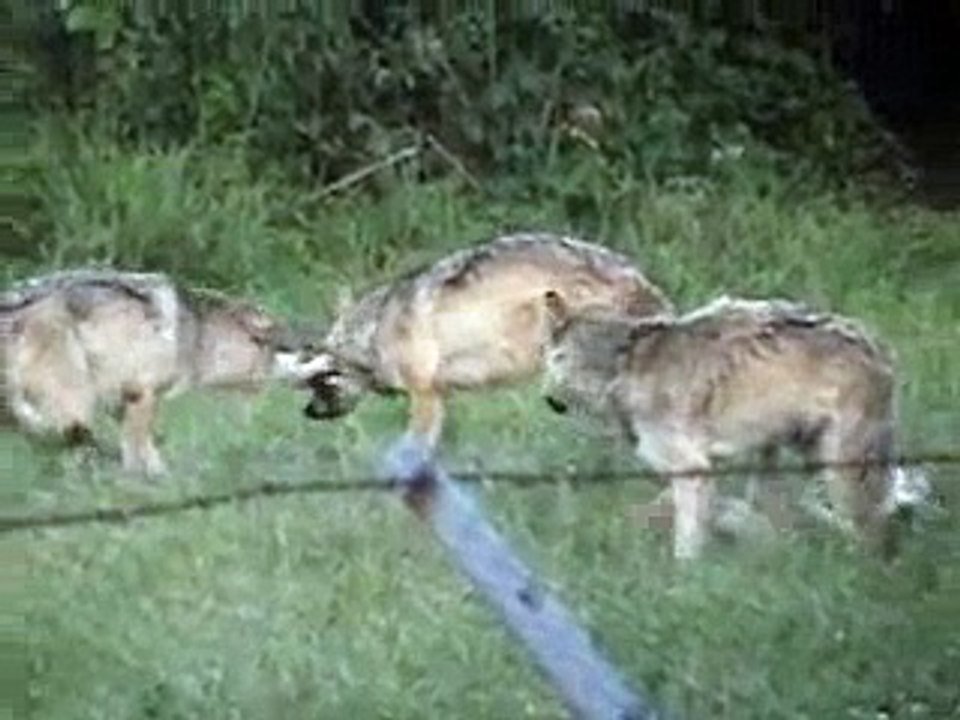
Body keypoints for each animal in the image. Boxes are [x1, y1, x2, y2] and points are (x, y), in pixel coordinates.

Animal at [1, 269, 306, 476]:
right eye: (289, 347)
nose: (312, 346)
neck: (197, 334)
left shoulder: (122, 399)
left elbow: (138, 446)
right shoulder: (143, 393)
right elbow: (139, 448)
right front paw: (151, 479)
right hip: (75, 396)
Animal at [289, 232, 674, 448]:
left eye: (320, 380)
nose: (308, 413)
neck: (376, 328)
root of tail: (641, 281)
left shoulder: (424, 396)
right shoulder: (442, 397)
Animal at [539, 292, 916, 561]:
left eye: (558, 359)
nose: (550, 401)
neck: (626, 366)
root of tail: (880, 349)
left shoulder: (691, 470)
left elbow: (686, 549)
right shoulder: (710, 470)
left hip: (841, 469)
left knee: (873, 531)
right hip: (781, 461)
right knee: (788, 530)